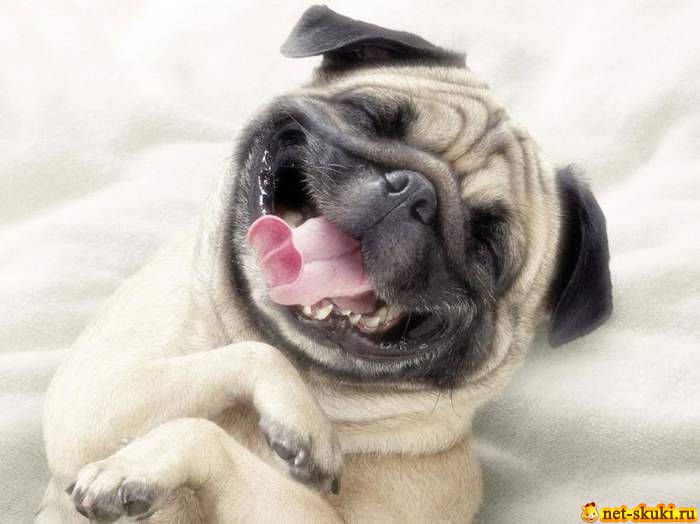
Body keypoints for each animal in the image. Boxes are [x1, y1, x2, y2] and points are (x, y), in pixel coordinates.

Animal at [37, 6, 612, 523]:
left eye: (486, 247)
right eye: (370, 119)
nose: (413, 192)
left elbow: (205, 431)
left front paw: (133, 470)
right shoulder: (94, 395)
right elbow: (251, 358)